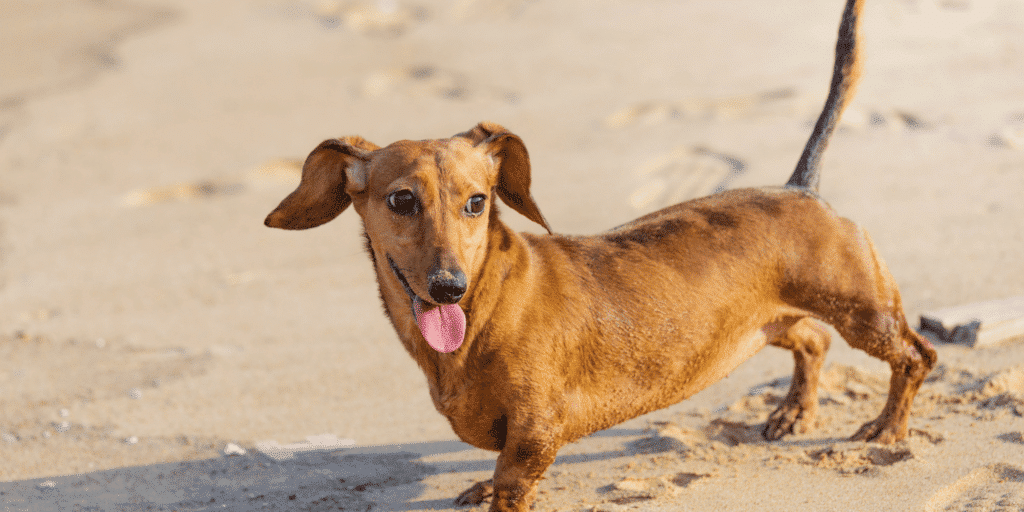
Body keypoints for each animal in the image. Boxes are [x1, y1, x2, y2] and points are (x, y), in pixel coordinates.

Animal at [262, 2, 937, 509]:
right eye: (401, 200)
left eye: (477, 202)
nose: (449, 286)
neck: (486, 307)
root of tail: (802, 186)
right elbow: (499, 473)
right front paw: (480, 487)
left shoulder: (535, 434)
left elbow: (513, 483)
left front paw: (496, 493)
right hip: (765, 322)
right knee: (813, 341)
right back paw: (794, 413)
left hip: (863, 312)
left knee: (917, 354)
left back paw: (888, 430)